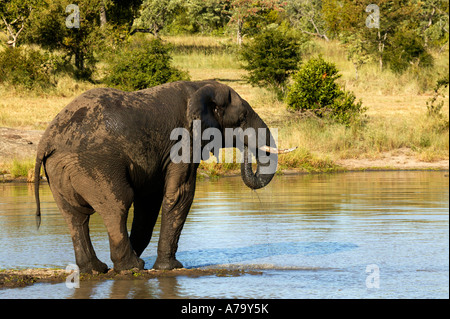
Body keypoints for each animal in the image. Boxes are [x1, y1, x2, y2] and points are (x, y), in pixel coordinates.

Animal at [33, 79, 290, 272]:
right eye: (243, 116)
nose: (246, 149)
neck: (201, 86)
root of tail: (46, 141)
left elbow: (150, 201)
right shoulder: (184, 140)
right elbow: (180, 194)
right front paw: (172, 267)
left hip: (59, 169)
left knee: (75, 216)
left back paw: (97, 269)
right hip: (94, 164)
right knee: (117, 205)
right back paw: (131, 267)